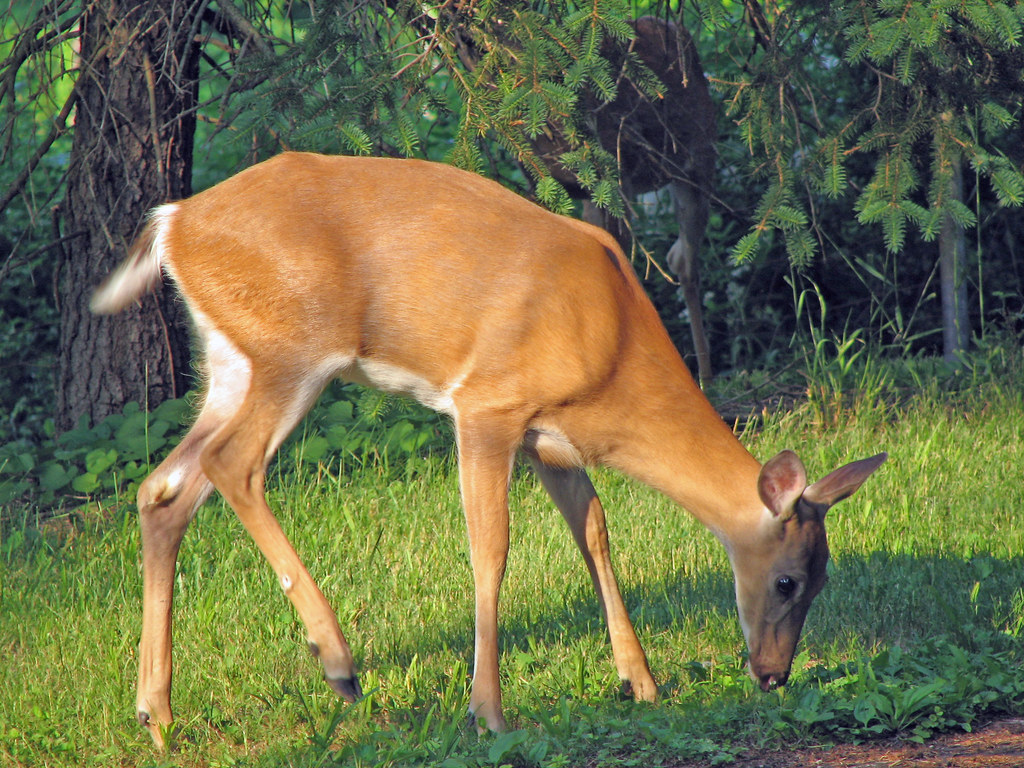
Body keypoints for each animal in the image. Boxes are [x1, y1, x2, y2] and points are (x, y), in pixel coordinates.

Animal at [91, 152, 886, 749]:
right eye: (787, 581)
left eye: (822, 579)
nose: (774, 675)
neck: (612, 348)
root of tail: (174, 222)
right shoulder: (487, 405)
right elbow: (491, 548)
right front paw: (489, 713)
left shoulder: (550, 440)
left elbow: (595, 532)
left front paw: (641, 682)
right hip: (293, 350)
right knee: (232, 466)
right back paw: (336, 662)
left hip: (231, 362)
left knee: (163, 490)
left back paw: (156, 714)